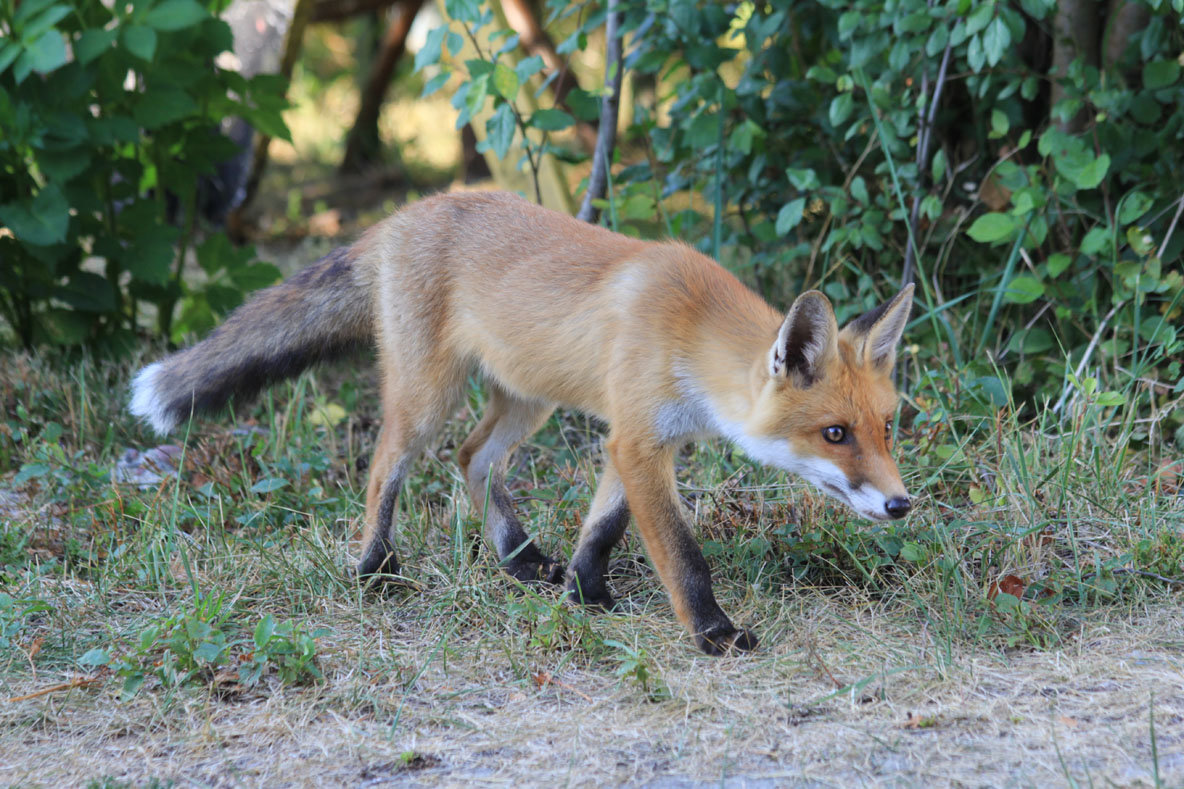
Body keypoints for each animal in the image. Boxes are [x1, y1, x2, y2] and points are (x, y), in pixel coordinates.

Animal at [129, 189, 909, 649]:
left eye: (886, 428)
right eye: (834, 434)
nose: (902, 505)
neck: (688, 328)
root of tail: (401, 215)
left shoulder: (639, 440)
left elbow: (603, 526)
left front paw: (584, 591)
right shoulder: (637, 439)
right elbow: (682, 556)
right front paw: (714, 633)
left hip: (528, 399)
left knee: (472, 458)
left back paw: (517, 559)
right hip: (429, 396)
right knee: (388, 466)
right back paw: (376, 570)